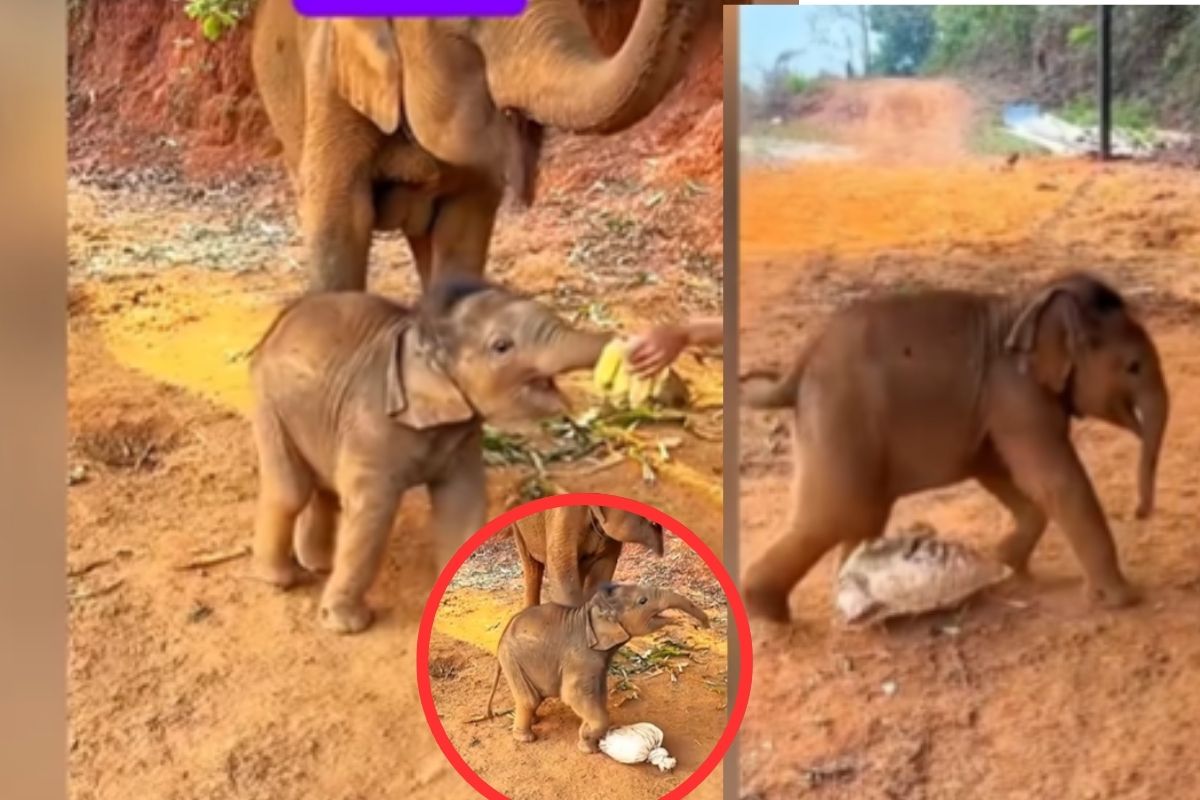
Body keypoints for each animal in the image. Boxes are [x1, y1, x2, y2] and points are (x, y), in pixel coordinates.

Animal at [248, 279, 611, 634]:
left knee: (324, 487)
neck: (422, 337)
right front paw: (347, 626)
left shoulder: (462, 435)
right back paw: (280, 580)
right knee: (291, 491)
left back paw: (319, 565)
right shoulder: (372, 423)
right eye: (501, 346)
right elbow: (373, 511)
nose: (619, 347)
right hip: (270, 403)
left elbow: (461, 504)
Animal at [483, 581, 709, 752]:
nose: (704, 626)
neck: (591, 612)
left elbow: (598, 693)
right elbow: (574, 695)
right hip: (512, 659)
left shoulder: (597, 662)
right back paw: (526, 738)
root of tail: (502, 635)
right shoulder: (581, 656)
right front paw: (588, 746)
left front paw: (587, 734)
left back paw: (536, 720)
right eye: (642, 601)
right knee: (529, 699)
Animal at [740, 272, 1169, 623]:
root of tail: (797, 370)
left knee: (860, 519)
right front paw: (1124, 599)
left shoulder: (994, 407)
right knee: (835, 515)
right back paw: (770, 612)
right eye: (1133, 367)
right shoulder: (1017, 394)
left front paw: (1011, 566)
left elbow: (999, 470)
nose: (1140, 511)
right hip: (840, 418)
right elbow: (1053, 479)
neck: (1027, 305)